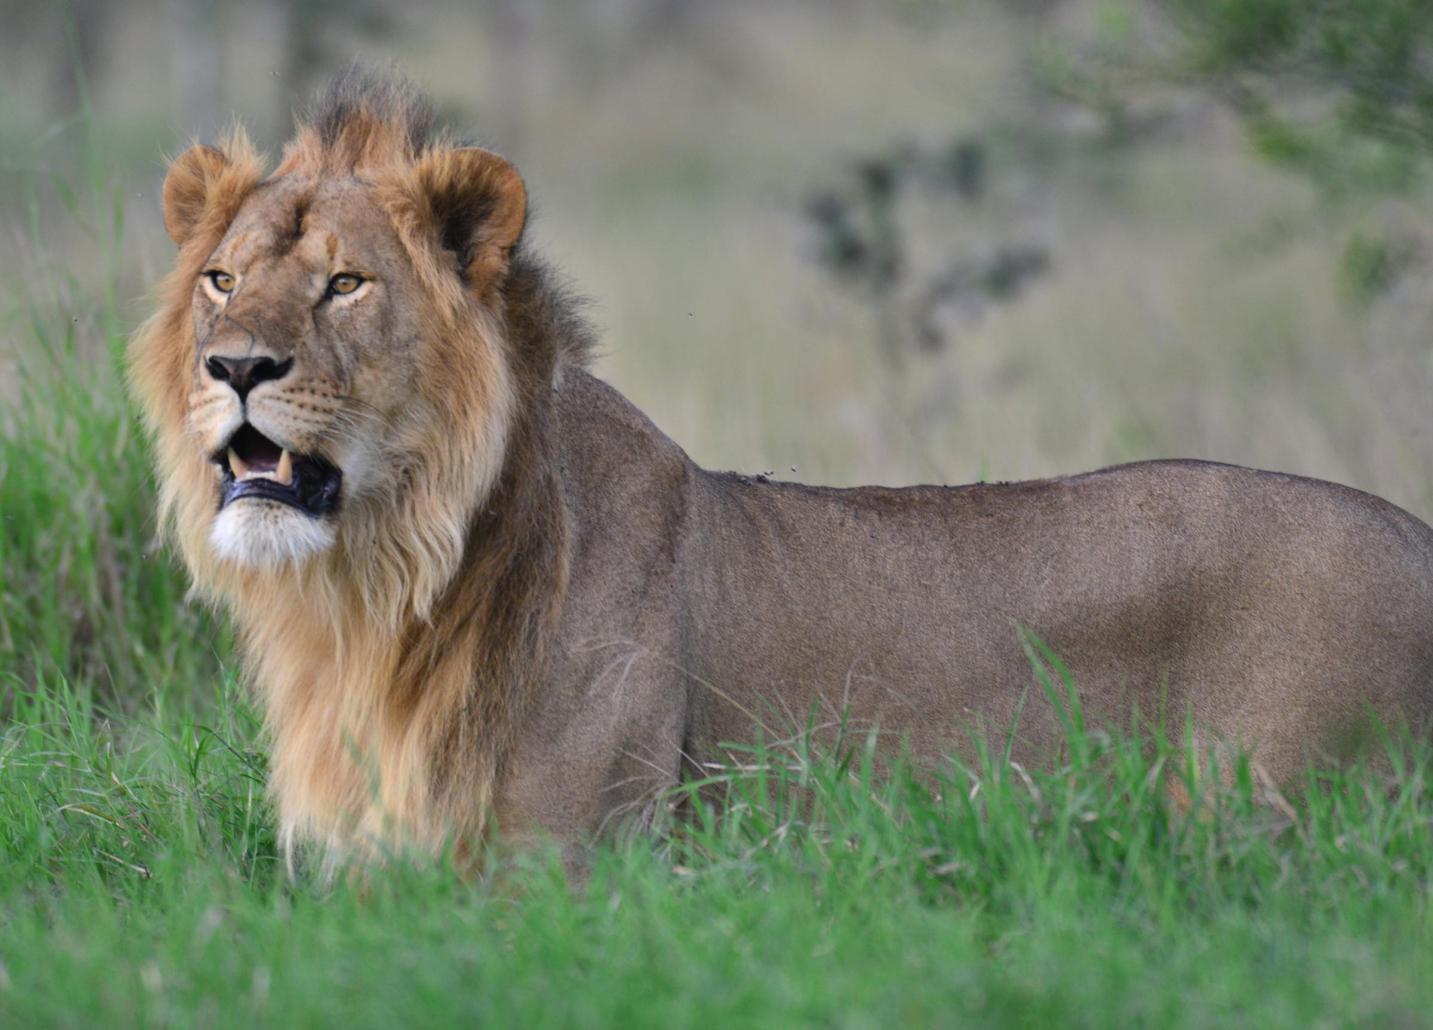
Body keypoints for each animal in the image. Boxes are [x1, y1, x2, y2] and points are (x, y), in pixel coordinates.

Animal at [131, 71, 1433, 866]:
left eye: (346, 284)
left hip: (1267, 815)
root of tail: (1417, 537)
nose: (232, 364)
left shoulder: (567, 863)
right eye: (221, 279)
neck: (378, 593)